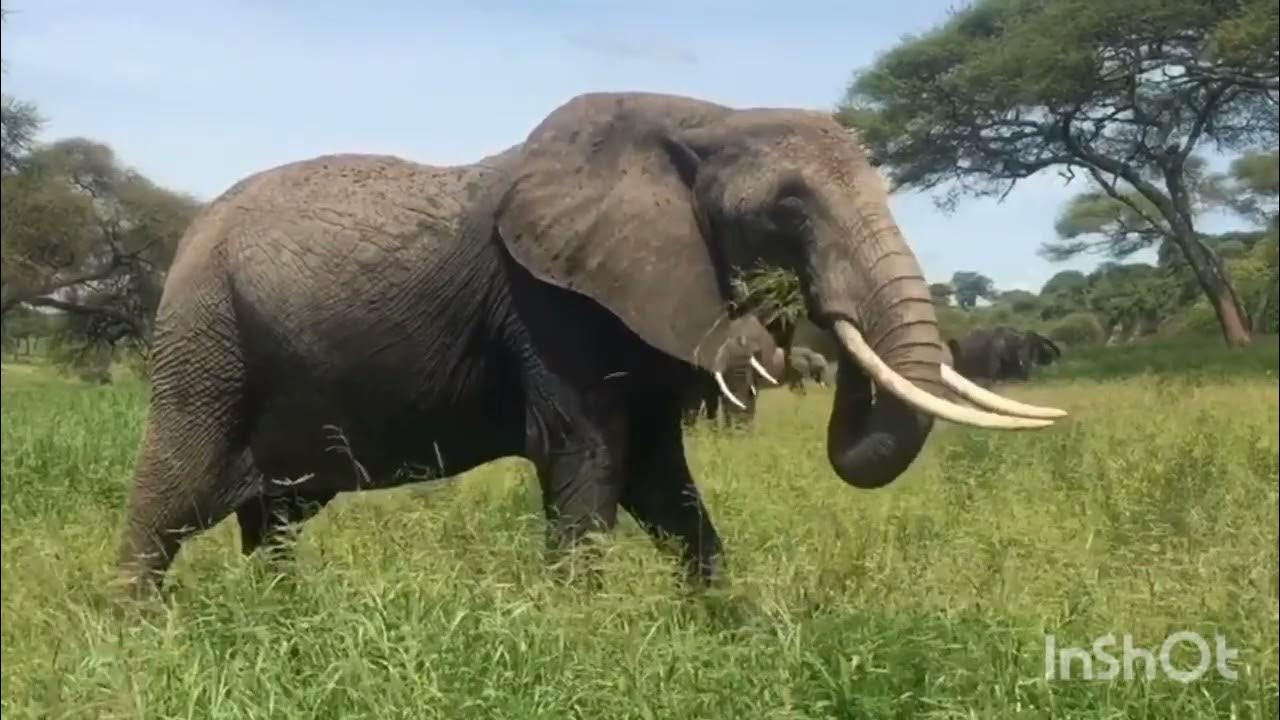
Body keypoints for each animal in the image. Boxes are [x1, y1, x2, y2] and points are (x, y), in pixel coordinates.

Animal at [114, 91, 1067, 597]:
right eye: (787, 210)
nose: (799, 318)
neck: (702, 121)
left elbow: (661, 481)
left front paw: (730, 633)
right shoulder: (550, 304)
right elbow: (591, 462)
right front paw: (579, 634)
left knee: (272, 522)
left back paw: (288, 620)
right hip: (205, 340)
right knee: (170, 500)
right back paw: (142, 642)